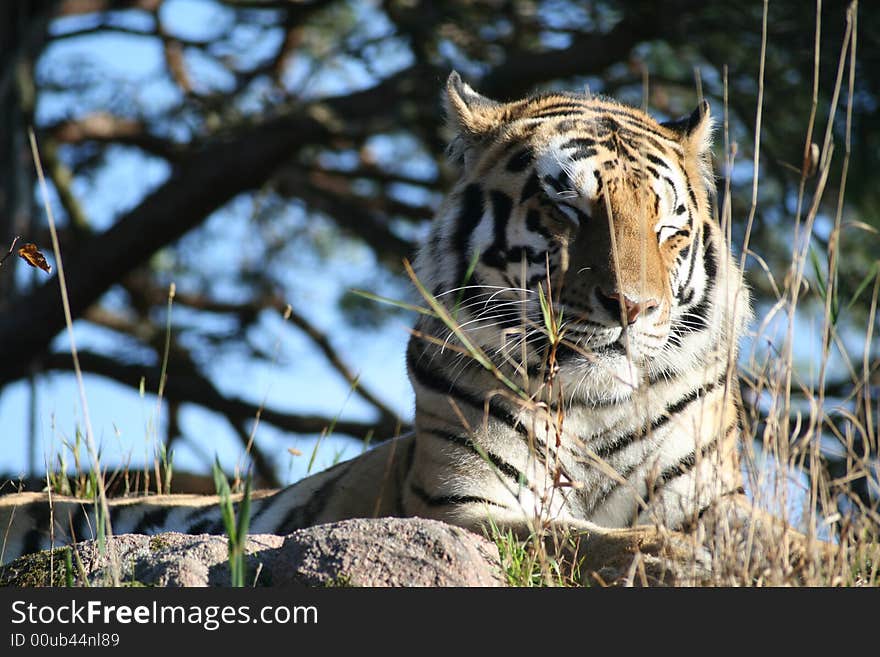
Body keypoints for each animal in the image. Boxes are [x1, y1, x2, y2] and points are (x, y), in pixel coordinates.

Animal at [1, 73, 820, 584]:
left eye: (667, 226)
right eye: (566, 206)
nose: (633, 309)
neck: (594, 402)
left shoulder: (709, 498)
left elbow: (784, 538)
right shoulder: (462, 506)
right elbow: (575, 541)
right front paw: (674, 561)